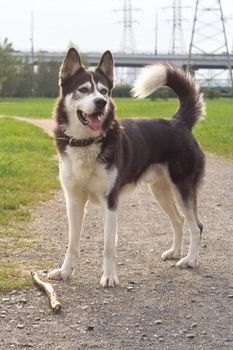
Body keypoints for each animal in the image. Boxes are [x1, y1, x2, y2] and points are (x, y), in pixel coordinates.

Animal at [48, 47, 205, 288]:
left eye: (104, 91)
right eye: (83, 90)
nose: (101, 102)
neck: (87, 142)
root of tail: (178, 122)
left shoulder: (110, 202)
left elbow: (108, 246)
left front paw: (109, 277)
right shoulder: (73, 201)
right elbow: (72, 244)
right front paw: (65, 272)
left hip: (182, 188)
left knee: (196, 225)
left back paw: (190, 260)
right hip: (160, 190)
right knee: (179, 221)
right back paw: (175, 252)